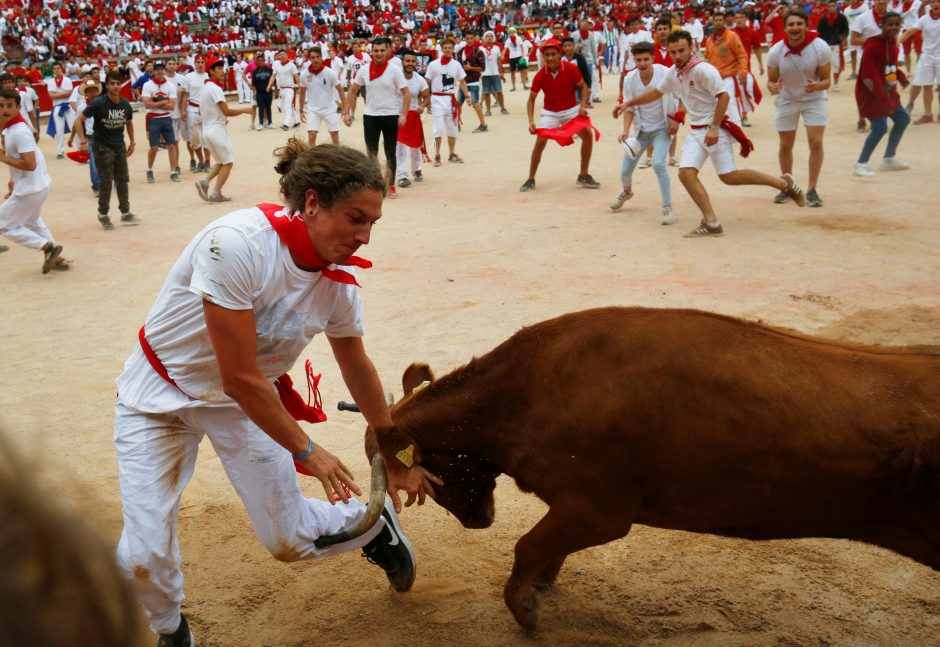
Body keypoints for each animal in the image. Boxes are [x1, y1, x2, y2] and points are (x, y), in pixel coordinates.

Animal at [362, 308, 940, 632]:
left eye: (426, 471)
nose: (478, 519)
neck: (522, 394)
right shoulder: (576, 509)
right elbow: (546, 549)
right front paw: (540, 588)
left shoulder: (601, 510)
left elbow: (528, 546)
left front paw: (525, 610)